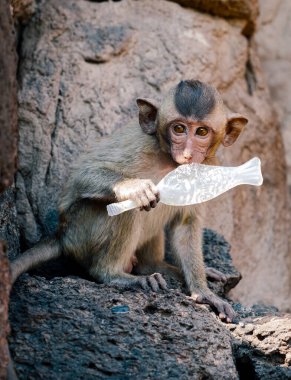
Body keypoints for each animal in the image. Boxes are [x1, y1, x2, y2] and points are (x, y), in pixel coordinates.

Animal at [12, 78, 249, 322]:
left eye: (201, 131)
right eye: (179, 129)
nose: (188, 154)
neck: (169, 161)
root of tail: (62, 235)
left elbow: (186, 224)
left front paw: (204, 292)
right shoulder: (139, 145)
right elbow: (83, 174)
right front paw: (135, 188)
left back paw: (156, 267)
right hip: (81, 232)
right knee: (125, 209)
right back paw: (114, 274)